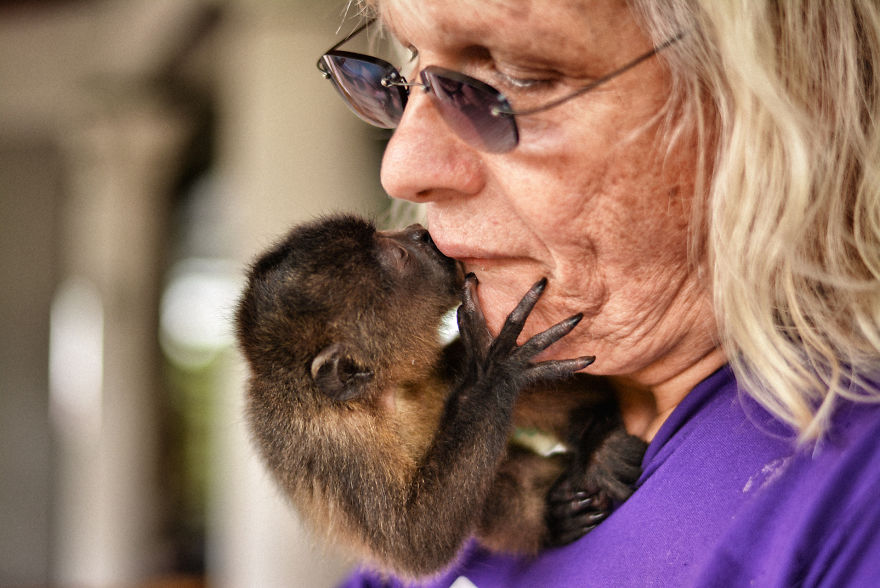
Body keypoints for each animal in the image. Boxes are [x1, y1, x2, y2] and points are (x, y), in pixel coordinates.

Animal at [235, 214, 646, 579]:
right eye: (400, 257)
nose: (420, 232)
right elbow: (415, 543)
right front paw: (495, 374)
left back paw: (598, 439)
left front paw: (597, 442)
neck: (379, 395)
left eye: (387, 235)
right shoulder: (330, 441)